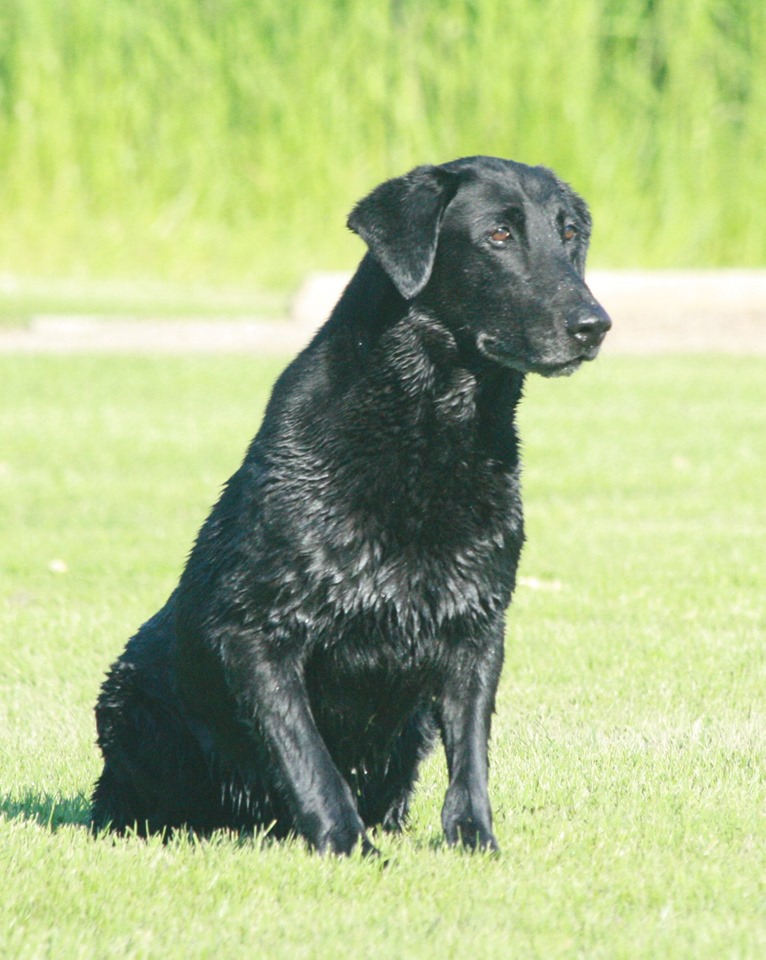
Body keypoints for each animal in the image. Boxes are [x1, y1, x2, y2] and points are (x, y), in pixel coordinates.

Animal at [91, 158, 612, 856]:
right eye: (499, 235)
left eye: (570, 233)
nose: (594, 324)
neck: (432, 428)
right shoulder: (252, 632)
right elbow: (307, 756)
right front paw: (349, 846)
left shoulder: (478, 624)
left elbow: (471, 756)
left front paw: (474, 840)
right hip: (130, 698)